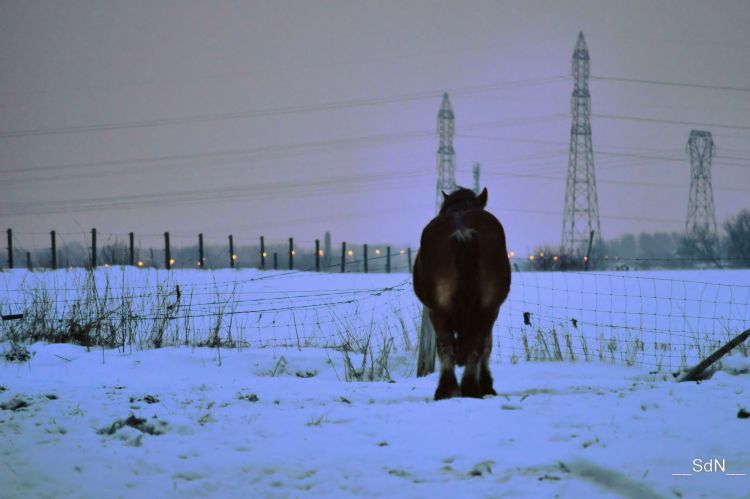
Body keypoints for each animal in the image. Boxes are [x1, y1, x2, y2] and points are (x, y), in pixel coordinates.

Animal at [414, 188, 516, 402]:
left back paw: (451, 389)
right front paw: (486, 384)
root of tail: (463, 231)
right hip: (486, 308)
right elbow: (485, 346)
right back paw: (468, 388)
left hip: (441, 310)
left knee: (448, 344)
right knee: (475, 343)